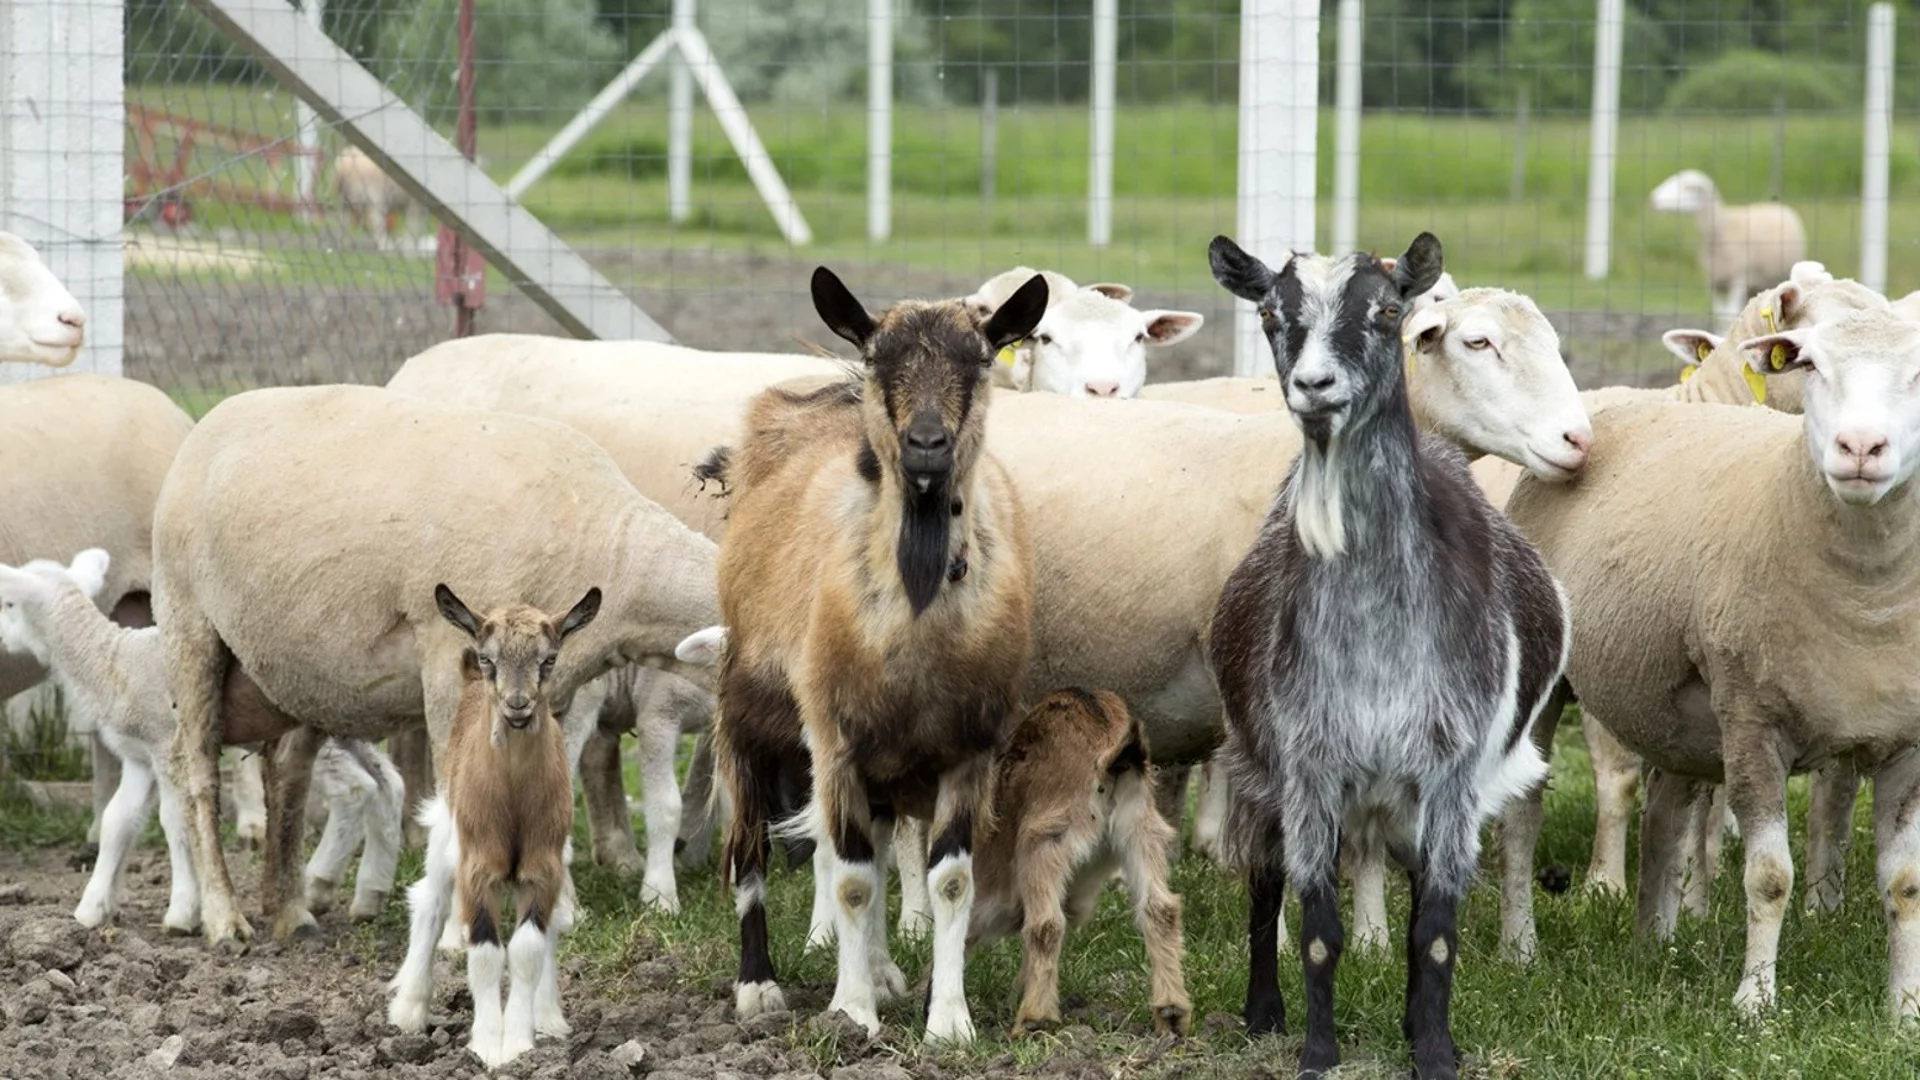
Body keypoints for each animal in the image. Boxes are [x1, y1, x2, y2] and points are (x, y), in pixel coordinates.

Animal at [151, 384, 721, 941]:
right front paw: (460, 930)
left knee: (287, 768)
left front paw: (556, 912)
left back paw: (291, 912)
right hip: (189, 624)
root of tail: (210, 419)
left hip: (295, 666)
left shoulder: (552, 689)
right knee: (197, 771)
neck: (616, 557)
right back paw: (224, 917)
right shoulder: (452, 657)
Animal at [385, 580, 595, 1068]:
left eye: (549, 659)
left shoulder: (543, 865)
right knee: (429, 901)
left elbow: (527, 949)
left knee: (551, 926)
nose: (517, 707)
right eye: (489, 658)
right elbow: (484, 953)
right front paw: (486, 1046)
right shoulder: (477, 865)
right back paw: (409, 1008)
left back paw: (549, 1015)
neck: (513, 800)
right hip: (447, 830)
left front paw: (518, 1043)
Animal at [714, 265, 1052, 1037]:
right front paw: (853, 1014)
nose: (927, 444)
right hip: (745, 710)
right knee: (749, 850)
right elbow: (852, 881)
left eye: (979, 358)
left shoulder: (968, 750)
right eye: (877, 358)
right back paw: (759, 987)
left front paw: (947, 1019)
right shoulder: (835, 742)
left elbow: (948, 881)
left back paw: (884, 971)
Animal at [967, 687, 1190, 1037]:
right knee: (1161, 908)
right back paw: (1171, 1012)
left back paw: (1033, 1018)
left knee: (1046, 924)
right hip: (1142, 832)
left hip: (1046, 840)